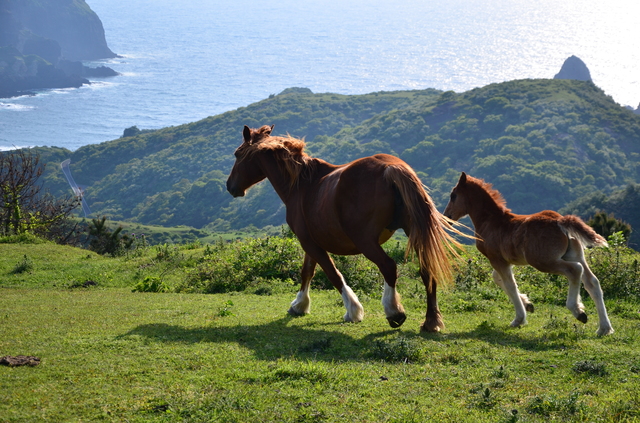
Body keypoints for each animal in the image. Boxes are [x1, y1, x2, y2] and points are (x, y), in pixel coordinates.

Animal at [225, 124, 460, 332]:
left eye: (238, 154)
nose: (230, 186)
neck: (302, 185)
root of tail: (391, 168)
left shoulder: (309, 242)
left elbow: (332, 274)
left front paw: (353, 311)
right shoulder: (311, 241)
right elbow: (307, 272)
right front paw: (299, 305)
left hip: (366, 241)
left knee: (388, 266)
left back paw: (394, 312)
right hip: (414, 230)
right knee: (427, 270)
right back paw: (431, 322)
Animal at [444, 171, 616, 334]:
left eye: (453, 196)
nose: (447, 217)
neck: (491, 221)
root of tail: (560, 221)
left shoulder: (497, 260)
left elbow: (510, 285)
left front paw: (519, 319)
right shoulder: (504, 261)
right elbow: (498, 279)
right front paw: (528, 304)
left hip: (543, 261)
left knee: (574, 270)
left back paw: (578, 311)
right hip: (575, 255)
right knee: (592, 282)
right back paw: (604, 328)